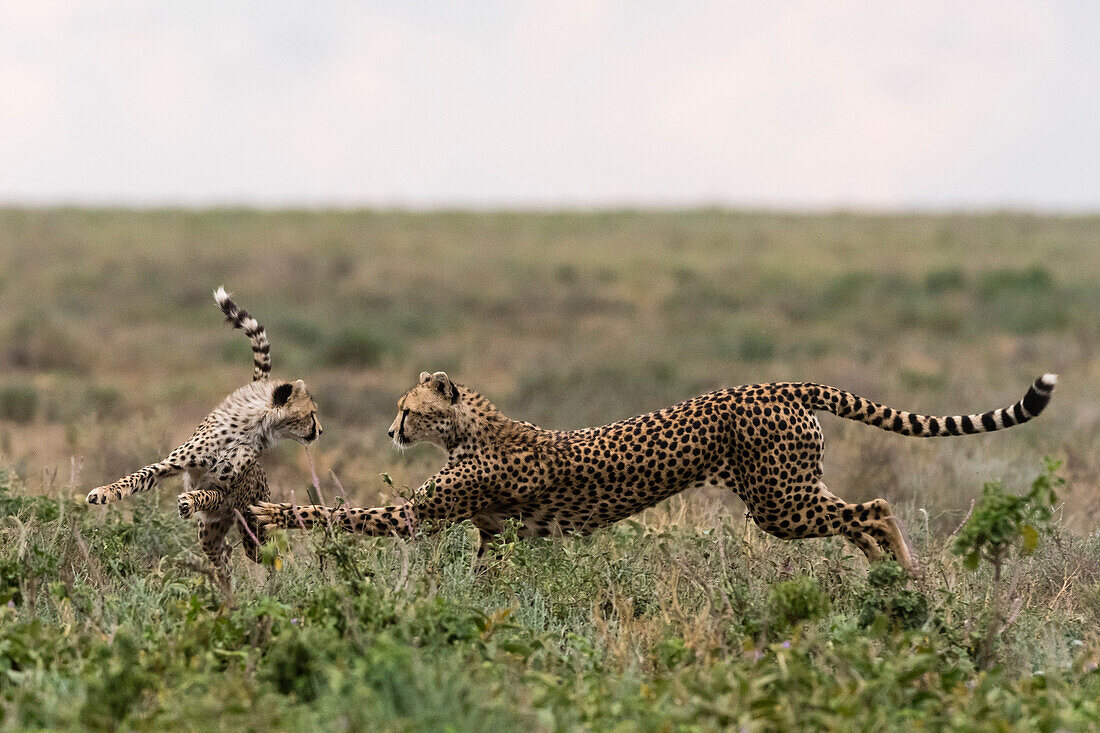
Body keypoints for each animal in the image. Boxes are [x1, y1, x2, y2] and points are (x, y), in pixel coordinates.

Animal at [87, 288, 321, 567]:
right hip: (211, 532)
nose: (320, 431)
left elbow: (207, 495)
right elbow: (138, 476)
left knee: (272, 551)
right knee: (224, 551)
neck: (247, 428)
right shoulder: (169, 465)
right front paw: (104, 492)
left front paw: (189, 501)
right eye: (312, 413)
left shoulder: (223, 491)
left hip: (252, 527)